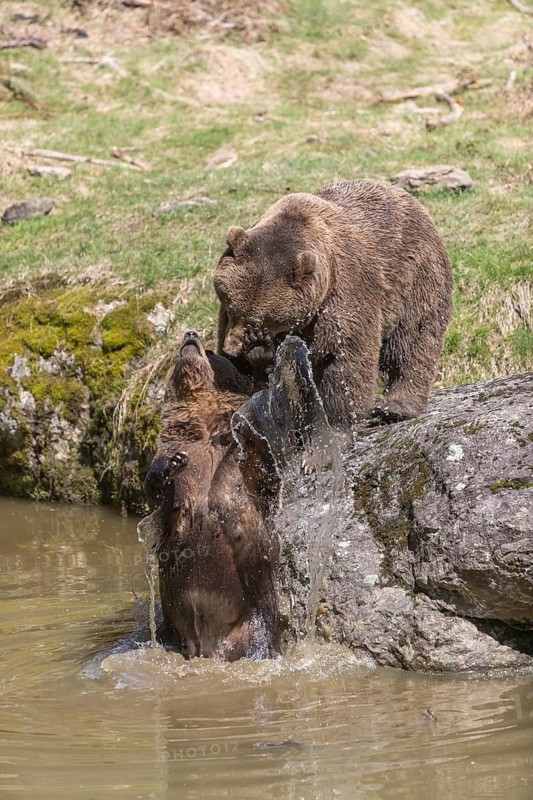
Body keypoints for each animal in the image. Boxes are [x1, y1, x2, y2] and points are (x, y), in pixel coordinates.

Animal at [143, 330, 280, 661]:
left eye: (212, 351)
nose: (190, 335)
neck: (204, 429)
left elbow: (258, 468)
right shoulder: (176, 446)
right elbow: (163, 500)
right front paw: (168, 468)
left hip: (254, 625)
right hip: (171, 631)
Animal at [213, 179, 453, 426]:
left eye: (261, 319)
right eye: (232, 309)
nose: (231, 349)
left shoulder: (344, 291)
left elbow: (345, 352)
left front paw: (336, 416)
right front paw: (255, 351)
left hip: (416, 277)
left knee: (413, 340)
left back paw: (395, 407)